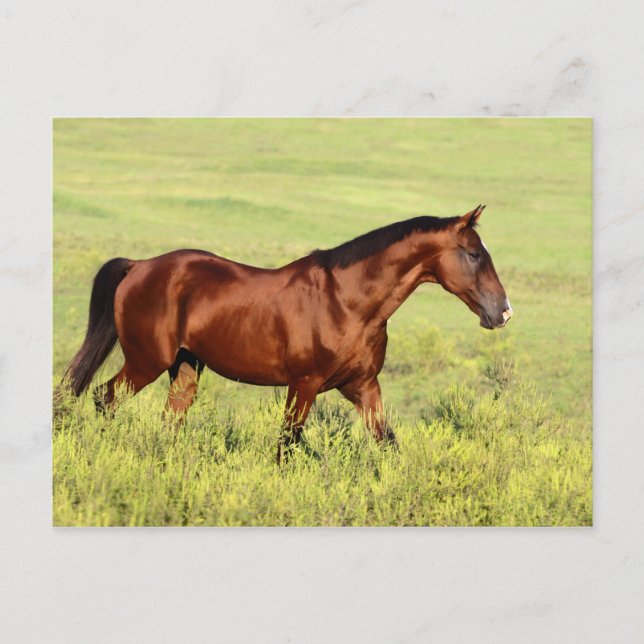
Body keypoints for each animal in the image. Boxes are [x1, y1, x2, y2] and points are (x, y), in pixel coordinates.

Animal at [63, 204, 512, 461]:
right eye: (474, 254)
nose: (503, 312)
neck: (347, 301)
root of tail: (139, 266)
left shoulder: (362, 385)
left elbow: (387, 443)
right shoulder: (304, 384)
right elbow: (287, 446)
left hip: (185, 367)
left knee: (169, 418)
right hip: (146, 361)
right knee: (104, 398)